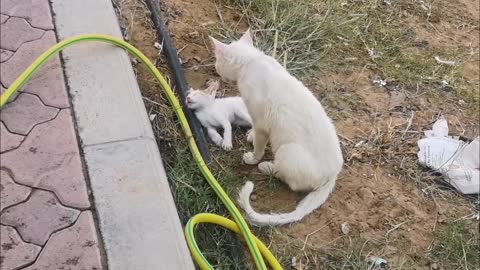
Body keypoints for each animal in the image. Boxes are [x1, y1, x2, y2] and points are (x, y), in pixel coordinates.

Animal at [210, 29, 342, 225]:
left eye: (217, 61)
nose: (215, 68)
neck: (251, 61)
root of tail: (333, 176)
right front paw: (250, 134)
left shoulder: (262, 123)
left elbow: (259, 145)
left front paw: (253, 157)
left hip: (287, 150)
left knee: (290, 181)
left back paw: (266, 166)